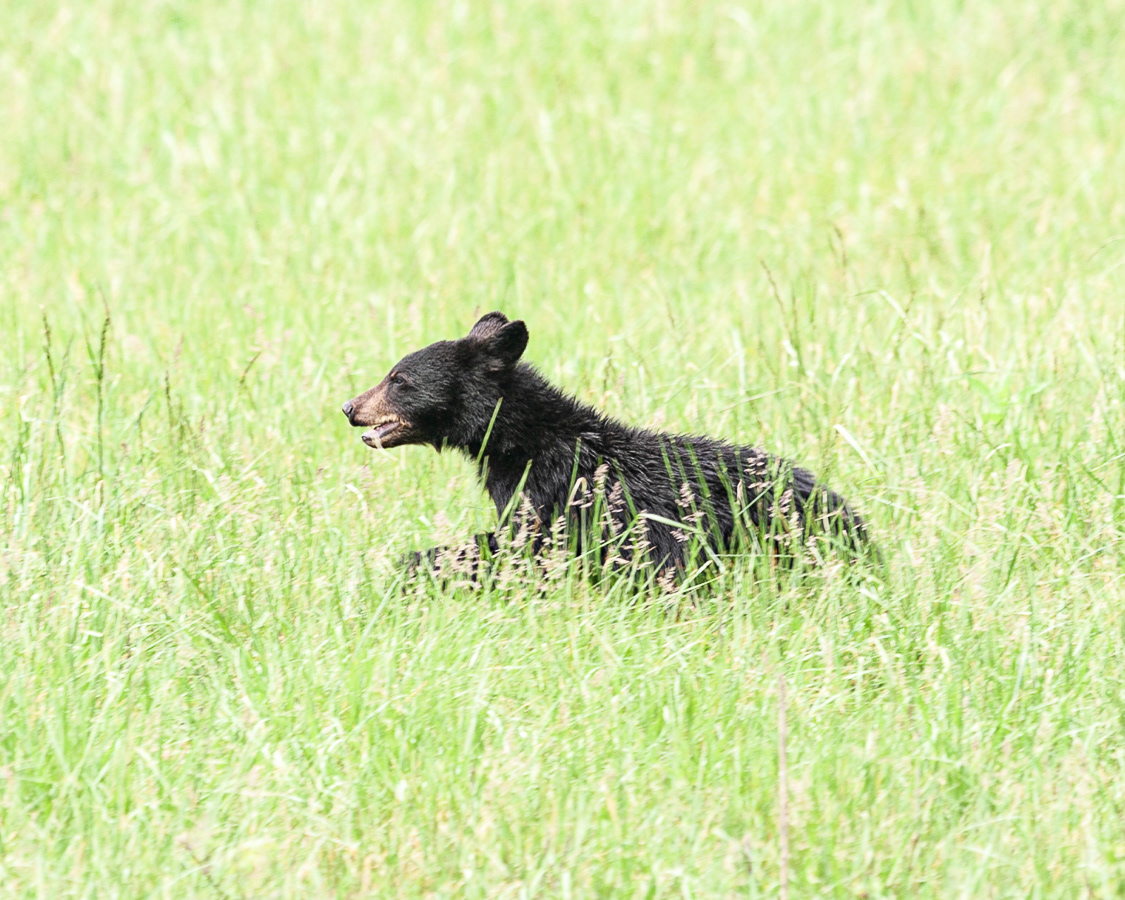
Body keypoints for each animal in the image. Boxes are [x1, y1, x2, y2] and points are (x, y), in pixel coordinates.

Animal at [341, 311, 874, 579]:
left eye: (399, 379)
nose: (349, 406)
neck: (526, 444)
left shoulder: (556, 496)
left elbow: (523, 546)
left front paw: (409, 566)